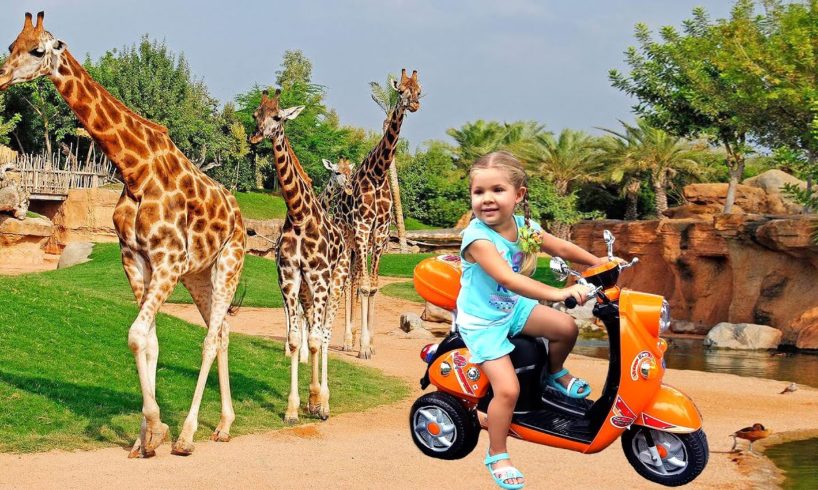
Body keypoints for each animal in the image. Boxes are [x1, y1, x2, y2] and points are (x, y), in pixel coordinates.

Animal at [249, 90, 350, 424]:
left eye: (278, 116)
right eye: (255, 114)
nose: (255, 136)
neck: (298, 214)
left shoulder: (319, 279)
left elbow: (318, 338)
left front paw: (318, 402)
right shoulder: (291, 278)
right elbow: (296, 339)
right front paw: (294, 408)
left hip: (336, 284)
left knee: (326, 335)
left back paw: (324, 402)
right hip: (307, 292)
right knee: (312, 331)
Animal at [336, 69, 418, 358]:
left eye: (419, 89)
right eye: (401, 90)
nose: (414, 104)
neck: (379, 173)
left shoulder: (380, 234)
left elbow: (372, 286)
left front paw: (370, 344)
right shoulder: (362, 228)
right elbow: (362, 285)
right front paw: (362, 348)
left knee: (353, 279)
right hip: (347, 239)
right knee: (347, 281)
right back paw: (346, 340)